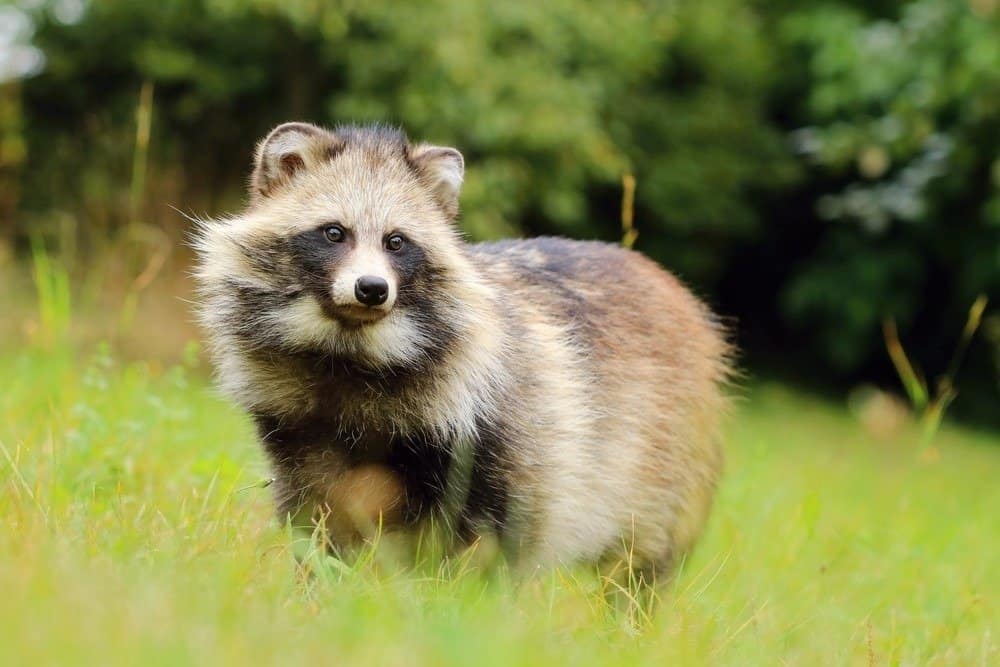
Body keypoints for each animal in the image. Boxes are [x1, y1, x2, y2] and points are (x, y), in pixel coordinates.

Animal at [193, 122, 728, 580]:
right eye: (333, 232)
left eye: (396, 241)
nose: (372, 289)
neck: (350, 352)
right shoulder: (299, 424)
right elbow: (317, 514)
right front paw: (315, 584)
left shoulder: (503, 421)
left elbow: (500, 531)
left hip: (665, 456)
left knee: (641, 558)